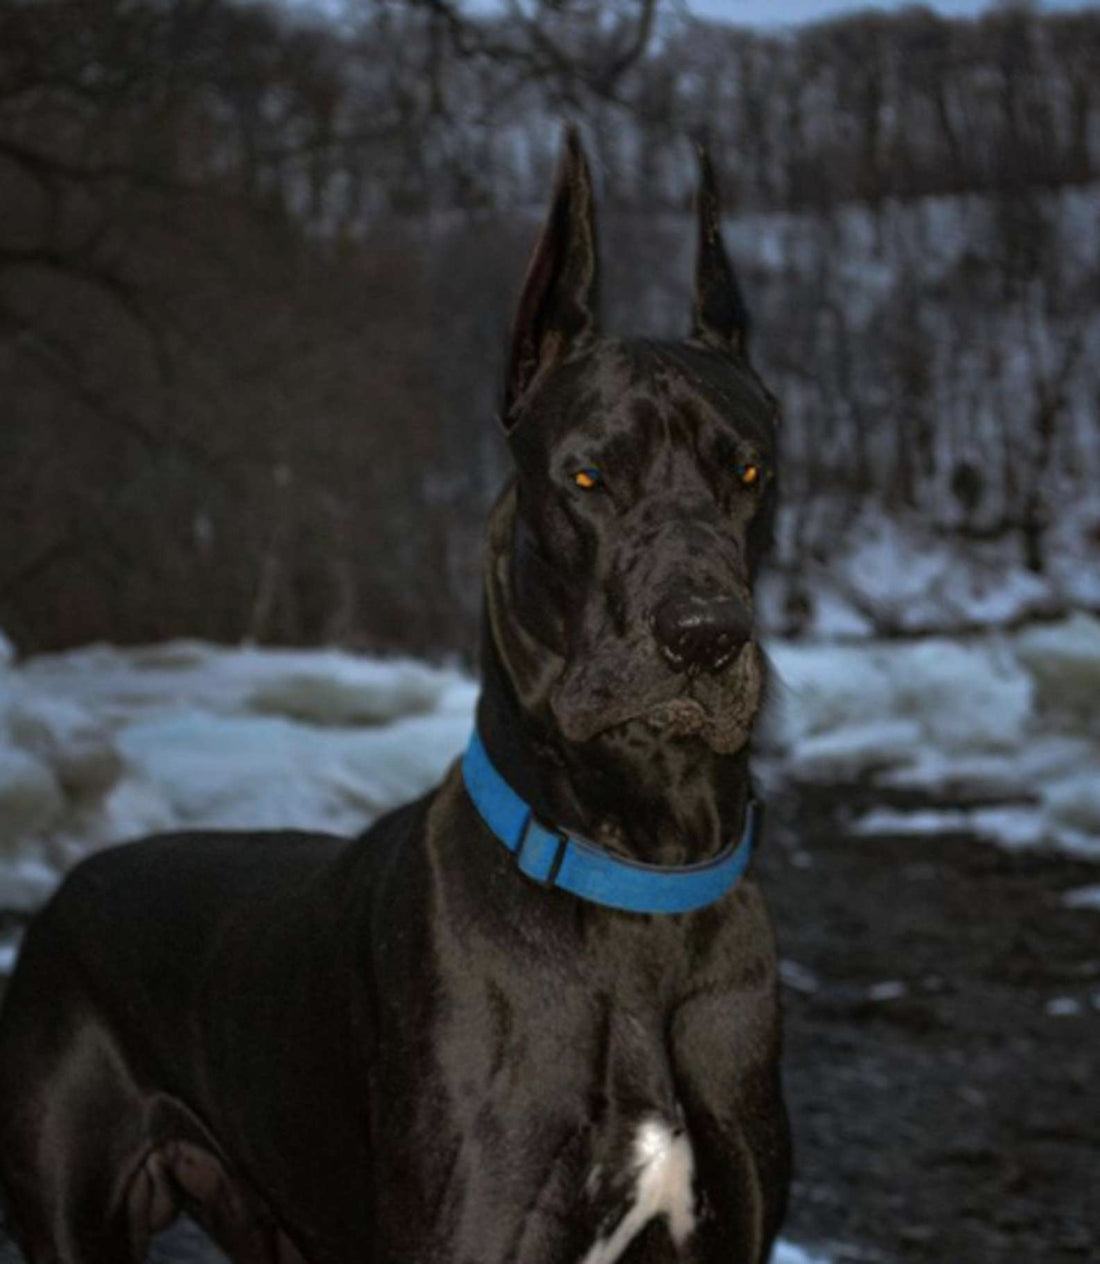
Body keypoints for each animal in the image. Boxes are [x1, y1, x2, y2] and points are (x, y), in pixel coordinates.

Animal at [0, 130, 794, 1264]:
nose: (705, 634)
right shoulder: (476, 1222)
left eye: (750, 471)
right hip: (74, 1206)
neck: (638, 874)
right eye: (587, 478)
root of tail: (69, 887)